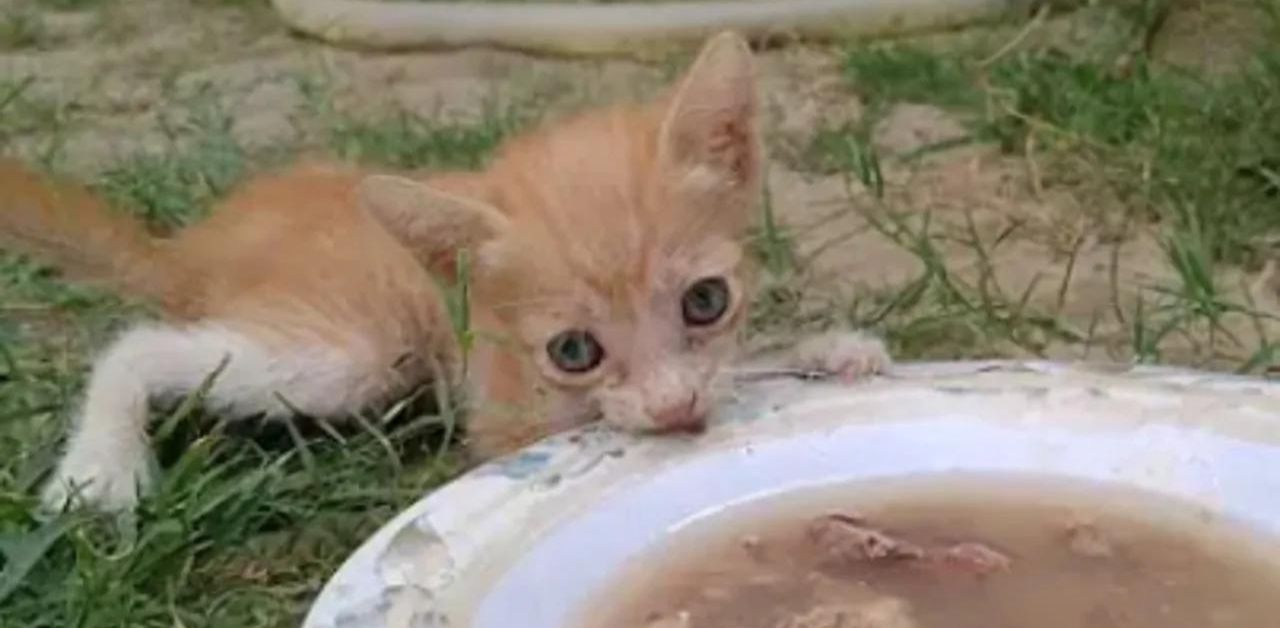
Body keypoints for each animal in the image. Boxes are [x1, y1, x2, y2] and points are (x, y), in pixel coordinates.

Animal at [0, 31, 885, 511]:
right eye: (573, 352)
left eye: (706, 300)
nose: (676, 411)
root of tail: (197, 243)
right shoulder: (505, 423)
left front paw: (828, 350)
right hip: (361, 346)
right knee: (139, 342)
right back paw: (102, 468)